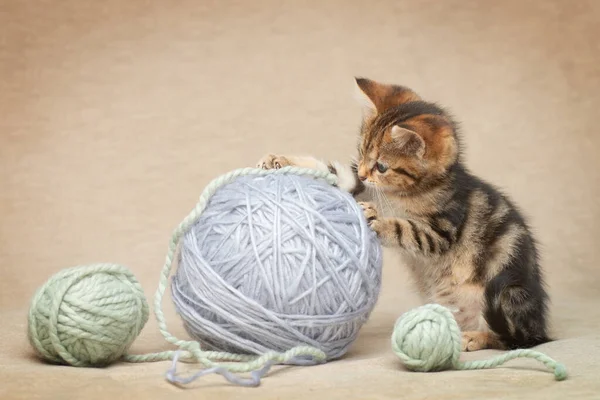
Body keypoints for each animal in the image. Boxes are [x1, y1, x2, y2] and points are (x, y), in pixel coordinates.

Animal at [255, 77, 552, 350]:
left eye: (382, 166)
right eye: (361, 152)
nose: (364, 171)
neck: (404, 193)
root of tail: (540, 327)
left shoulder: (442, 230)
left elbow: (408, 229)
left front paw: (377, 221)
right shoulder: (360, 185)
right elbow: (333, 172)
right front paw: (279, 160)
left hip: (508, 293)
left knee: (512, 338)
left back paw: (476, 337)